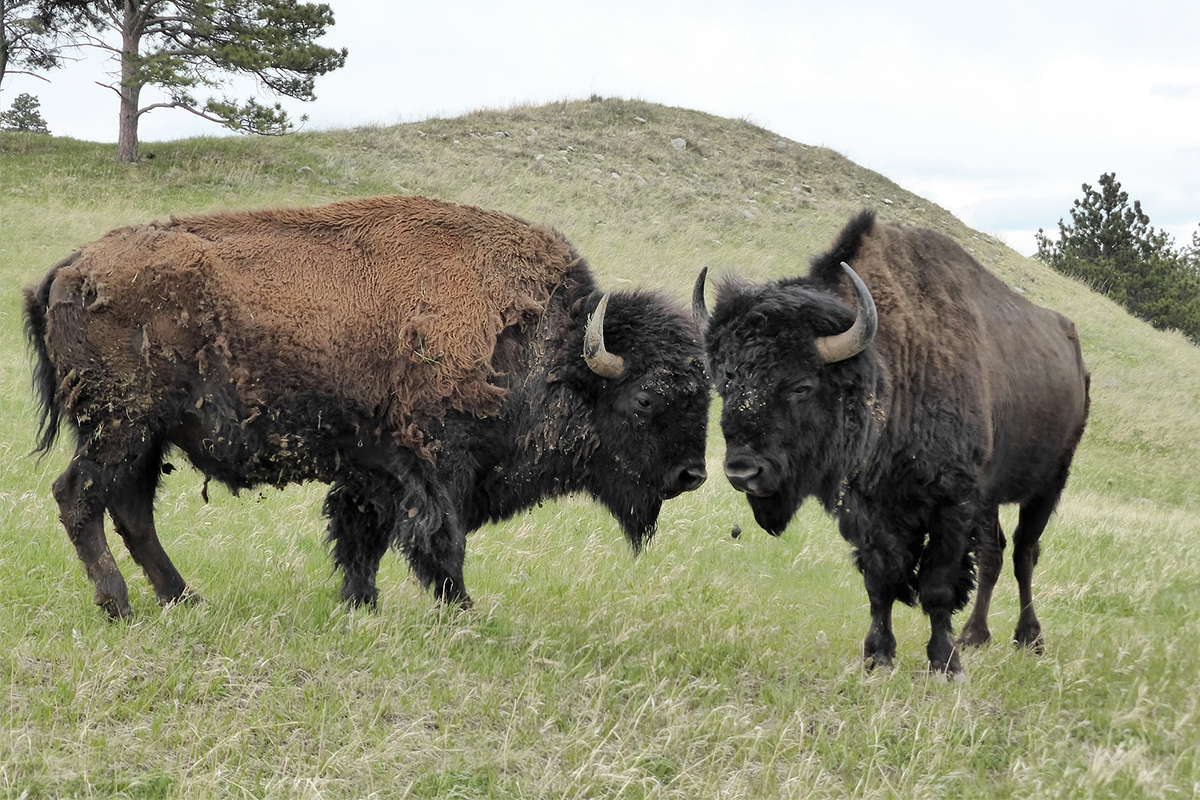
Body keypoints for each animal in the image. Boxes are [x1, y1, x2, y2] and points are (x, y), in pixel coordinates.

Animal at [25, 194, 710, 618]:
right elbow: (440, 541)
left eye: (707, 393)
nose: (693, 474)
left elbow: (363, 538)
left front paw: (361, 606)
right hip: (121, 426)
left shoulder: (373, 471)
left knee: (131, 509)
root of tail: (71, 269)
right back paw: (120, 606)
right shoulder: (437, 466)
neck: (545, 346)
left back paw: (183, 599)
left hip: (146, 436)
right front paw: (464, 613)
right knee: (79, 496)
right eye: (647, 398)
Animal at [696, 211, 1099, 676]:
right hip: (991, 497)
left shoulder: (952, 503)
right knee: (994, 554)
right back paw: (976, 636)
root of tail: (1076, 356)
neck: (890, 367)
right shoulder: (869, 509)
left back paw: (1029, 639)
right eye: (725, 381)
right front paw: (879, 657)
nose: (742, 470)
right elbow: (881, 580)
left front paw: (946, 664)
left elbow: (938, 585)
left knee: (1023, 553)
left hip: (1049, 482)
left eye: (801, 385)